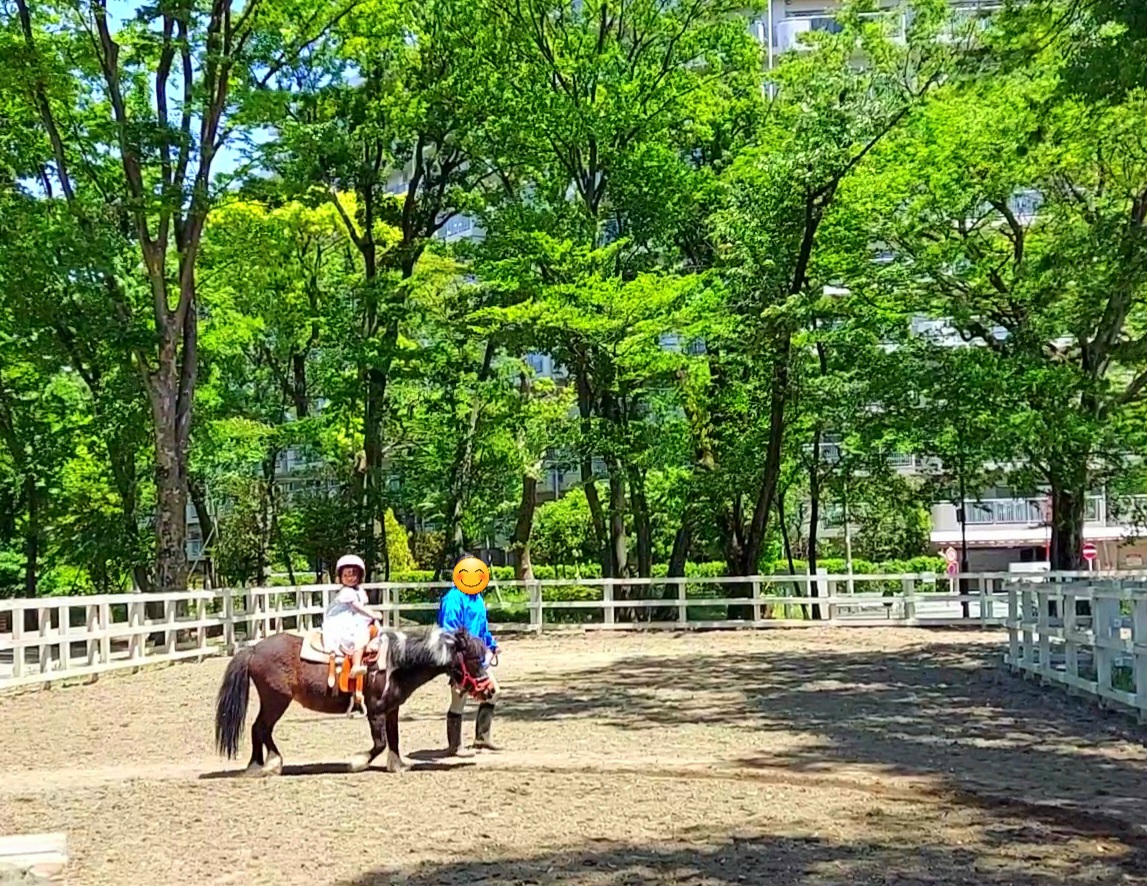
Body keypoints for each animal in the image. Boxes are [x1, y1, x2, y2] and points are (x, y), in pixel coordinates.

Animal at [213, 624, 490, 775]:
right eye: (474, 659)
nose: (489, 691)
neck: (394, 663)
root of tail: (253, 649)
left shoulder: (391, 710)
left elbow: (394, 740)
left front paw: (398, 765)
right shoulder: (375, 710)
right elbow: (379, 743)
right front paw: (357, 762)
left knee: (259, 729)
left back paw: (260, 764)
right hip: (276, 700)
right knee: (260, 728)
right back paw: (267, 764)